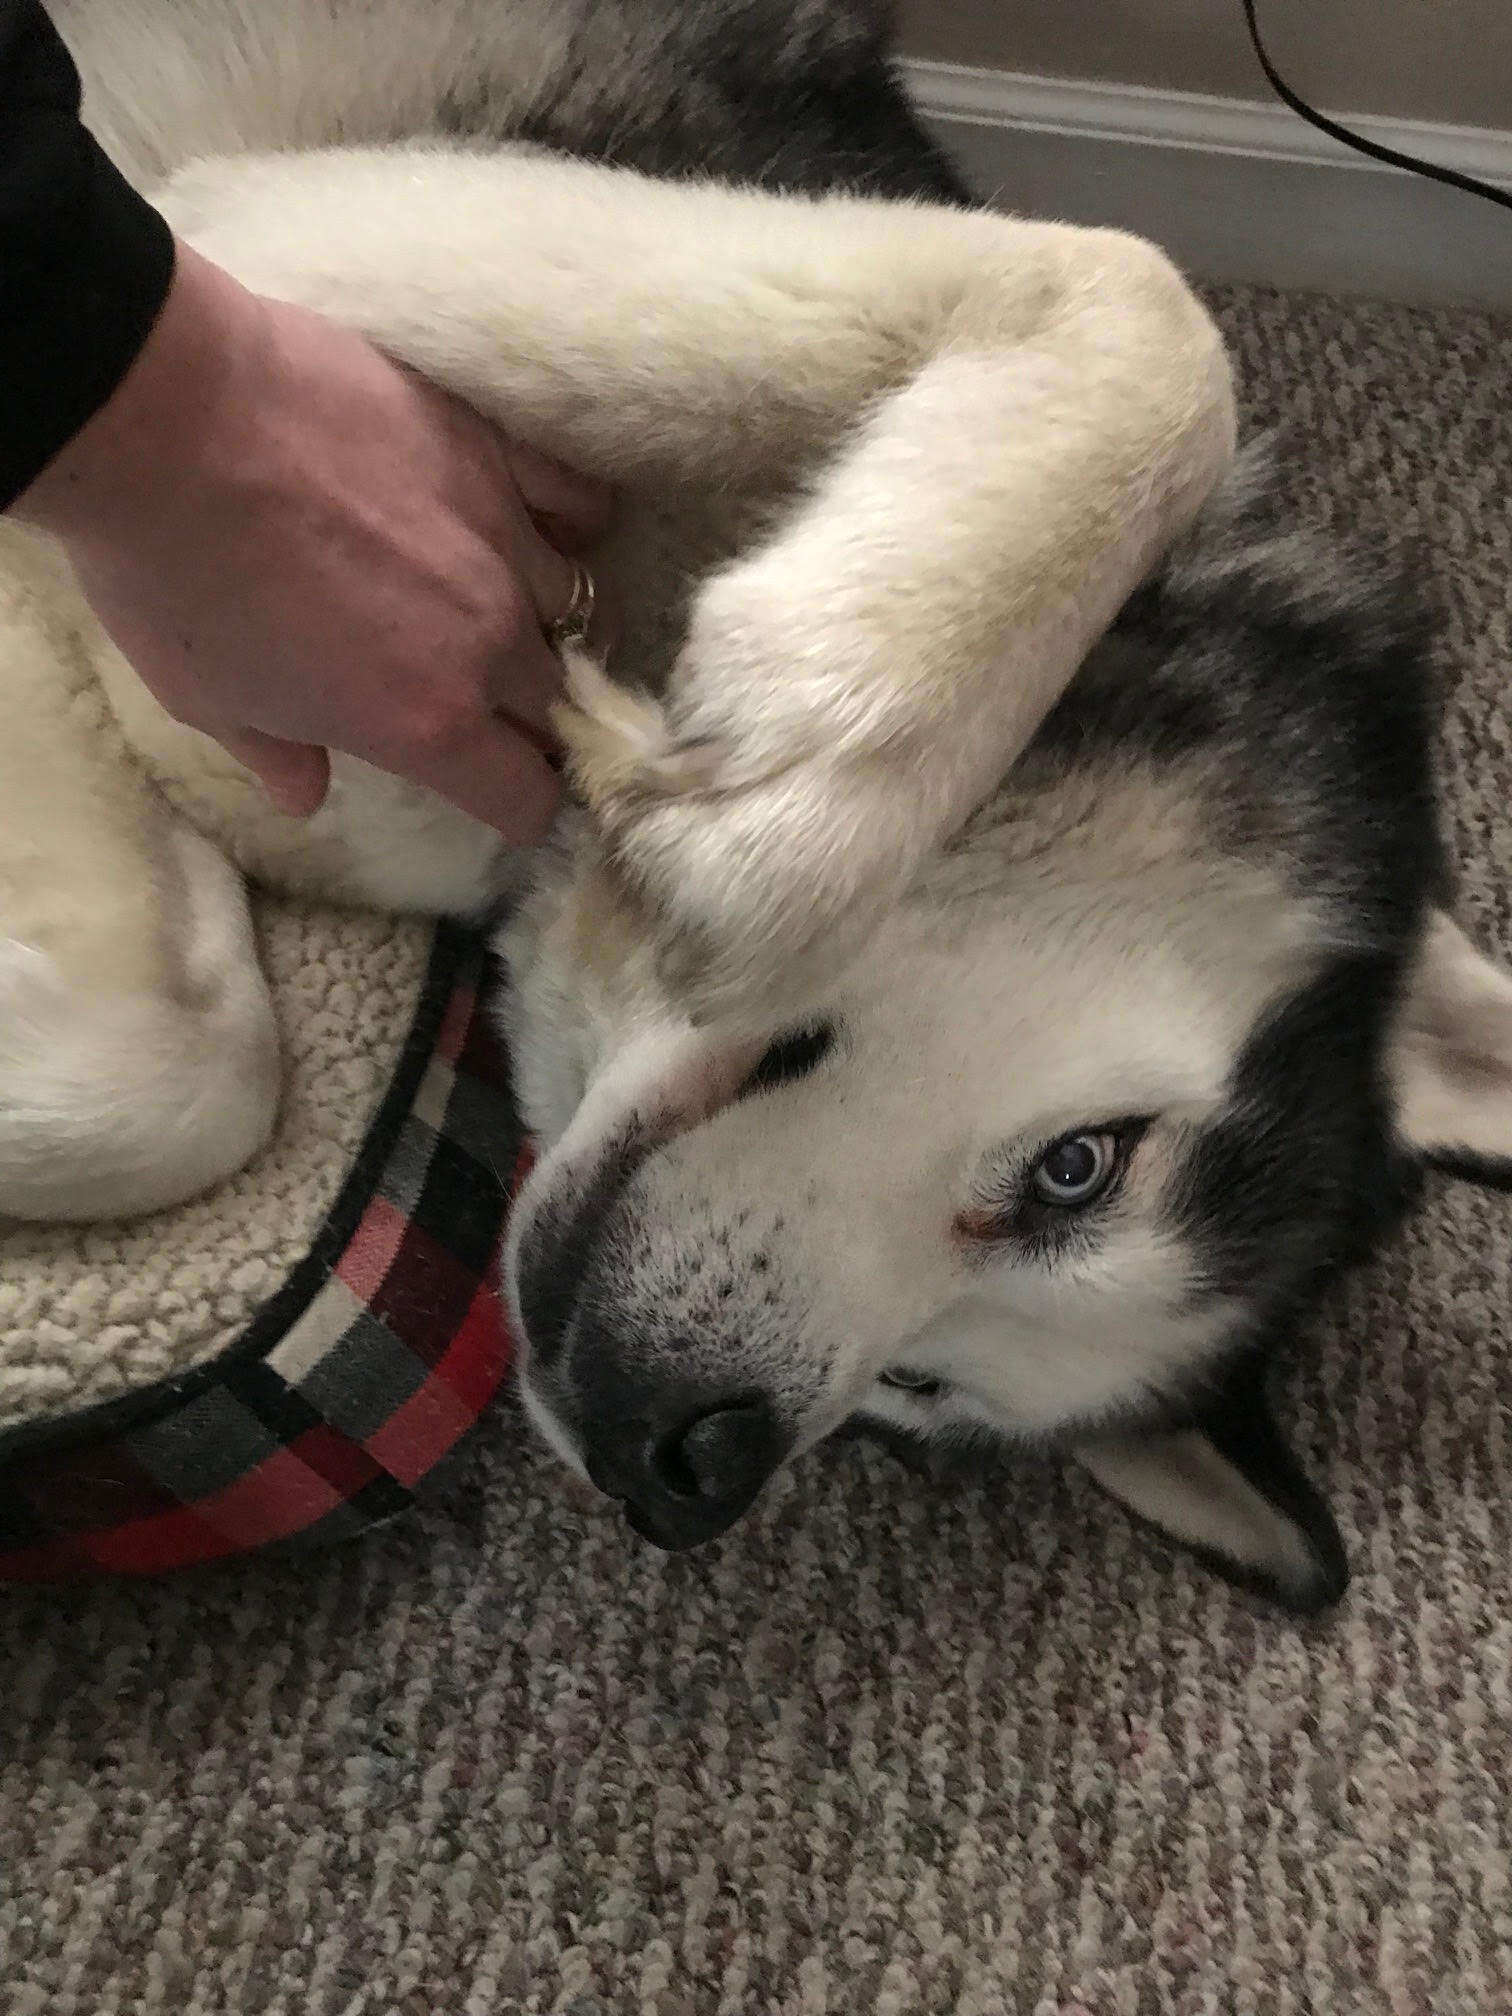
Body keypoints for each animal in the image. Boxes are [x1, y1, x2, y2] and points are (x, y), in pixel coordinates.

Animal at [11, 0, 1512, 1604]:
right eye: (1083, 1171)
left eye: (919, 1390)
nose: (686, 1473)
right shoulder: (281, 249)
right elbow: (1139, 297)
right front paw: (801, 787)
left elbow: (193, 1064)